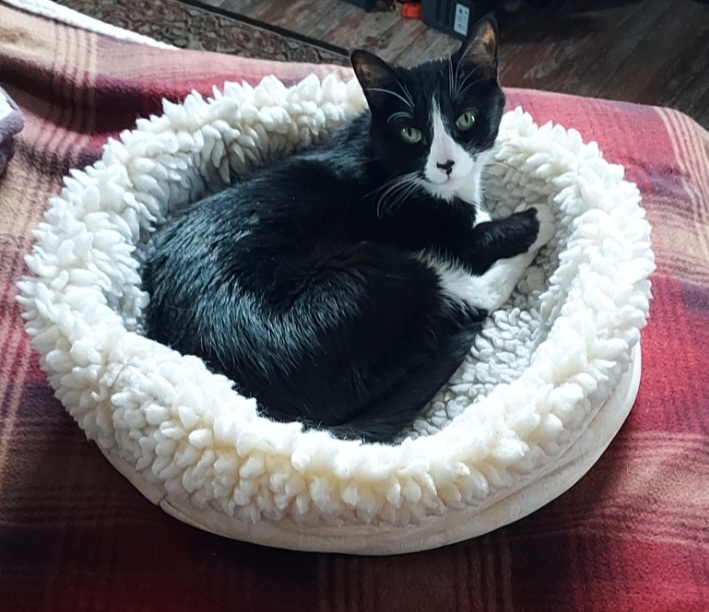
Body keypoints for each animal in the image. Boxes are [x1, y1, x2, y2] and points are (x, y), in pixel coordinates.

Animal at [142, 16, 552, 442]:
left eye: (466, 119)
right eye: (411, 132)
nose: (446, 164)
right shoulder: (425, 228)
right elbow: (480, 237)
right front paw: (537, 216)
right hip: (362, 280)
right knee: (468, 297)